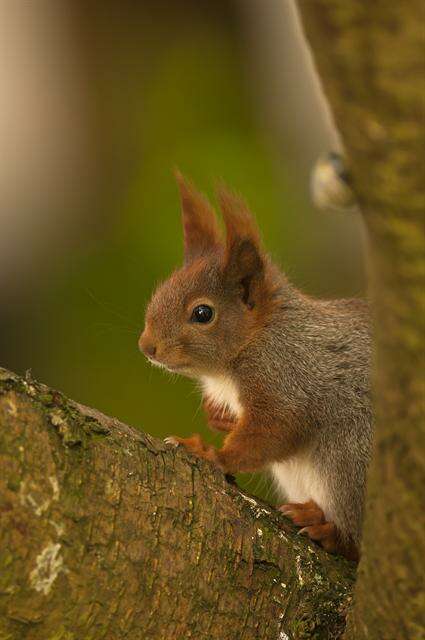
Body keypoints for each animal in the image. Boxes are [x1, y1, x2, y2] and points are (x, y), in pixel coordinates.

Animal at [140, 174, 372, 560]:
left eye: (202, 313)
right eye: (160, 292)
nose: (147, 347)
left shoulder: (285, 376)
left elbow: (274, 430)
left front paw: (211, 454)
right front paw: (217, 417)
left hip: (350, 460)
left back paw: (327, 530)